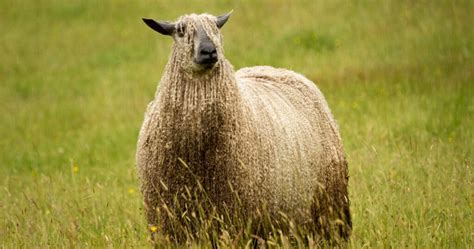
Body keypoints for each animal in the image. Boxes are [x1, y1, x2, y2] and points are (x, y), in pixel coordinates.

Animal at [137, 12, 352, 243]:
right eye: (181, 30)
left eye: (217, 28)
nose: (209, 51)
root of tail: (281, 71)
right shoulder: (170, 223)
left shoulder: (236, 219)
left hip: (329, 208)